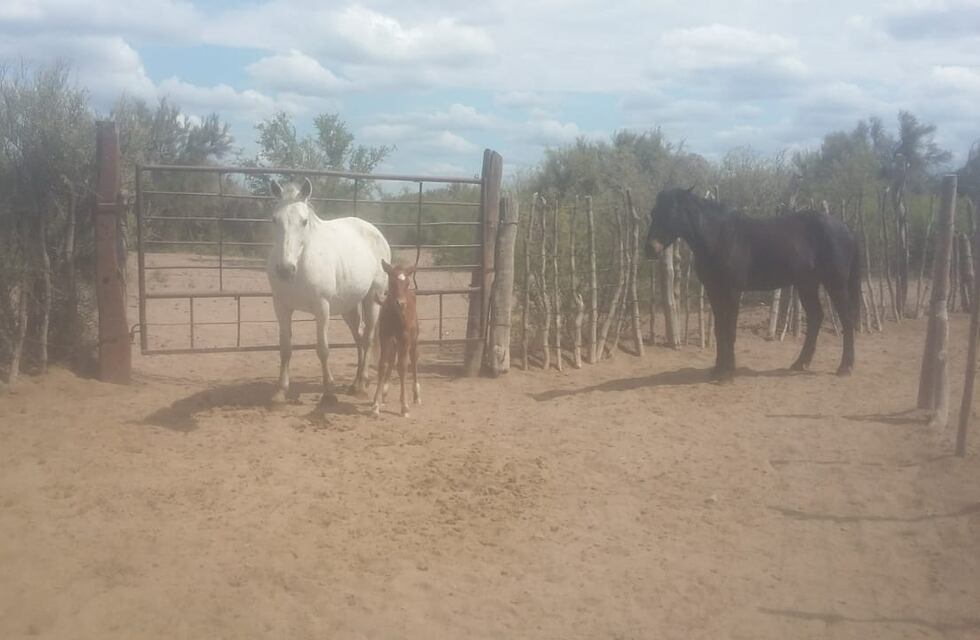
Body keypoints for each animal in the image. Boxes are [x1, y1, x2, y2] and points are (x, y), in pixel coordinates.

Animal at [266, 178, 391, 405]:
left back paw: (362, 384)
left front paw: (329, 393)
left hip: (372, 299)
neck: (301, 262)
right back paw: (355, 384)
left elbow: (323, 349)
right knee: (359, 337)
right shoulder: (281, 307)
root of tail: (376, 233)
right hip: (349, 307)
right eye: (274, 220)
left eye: (304, 221)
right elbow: (285, 348)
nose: (285, 270)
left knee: (368, 338)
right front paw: (280, 392)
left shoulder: (321, 307)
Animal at [371, 260, 421, 418]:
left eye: (407, 282)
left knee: (414, 359)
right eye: (392, 282)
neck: (396, 316)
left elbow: (402, 367)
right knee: (392, 357)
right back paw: (384, 394)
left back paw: (416, 396)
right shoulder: (385, 336)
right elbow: (383, 365)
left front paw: (404, 407)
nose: (401, 303)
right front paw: (376, 405)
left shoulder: (405, 338)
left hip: (413, 338)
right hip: (394, 341)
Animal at [645, 187, 861, 380]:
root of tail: (847, 229)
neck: (720, 237)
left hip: (835, 283)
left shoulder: (733, 291)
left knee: (847, 319)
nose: (650, 249)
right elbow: (719, 330)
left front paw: (728, 372)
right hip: (807, 284)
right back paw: (801, 363)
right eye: (653, 212)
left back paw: (845, 367)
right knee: (816, 317)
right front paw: (718, 369)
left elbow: (730, 330)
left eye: (671, 212)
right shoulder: (714, 290)